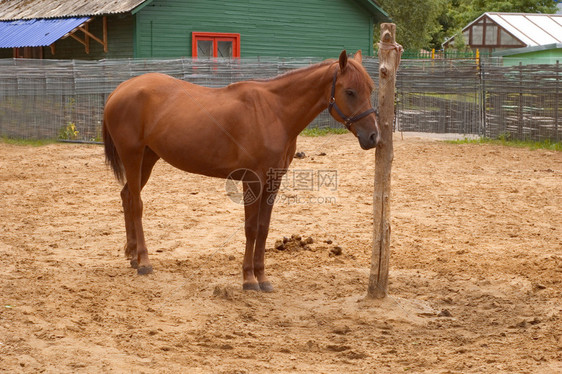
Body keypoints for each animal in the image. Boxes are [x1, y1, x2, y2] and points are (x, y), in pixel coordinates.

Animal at [103, 49, 378, 290]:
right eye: (350, 91)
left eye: (371, 89)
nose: (373, 136)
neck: (274, 113)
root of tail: (119, 90)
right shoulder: (252, 181)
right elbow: (251, 228)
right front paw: (248, 279)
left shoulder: (273, 182)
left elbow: (264, 229)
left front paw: (262, 277)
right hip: (133, 155)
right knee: (137, 204)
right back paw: (144, 261)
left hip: (148, 158)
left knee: (127, 196)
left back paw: (132, 255)